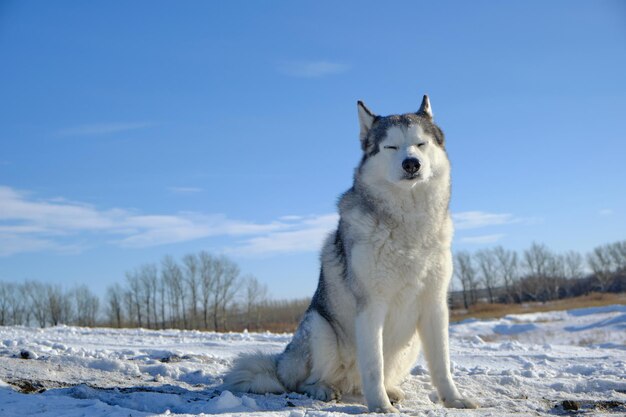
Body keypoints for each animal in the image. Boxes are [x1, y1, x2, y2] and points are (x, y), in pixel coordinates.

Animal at [223, 96, 478, 412]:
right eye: (391, 147)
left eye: (421, 144)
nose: (411, 164)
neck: (408, 224)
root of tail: (281, 365)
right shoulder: (371, 306)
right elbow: (374, 365)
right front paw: (380, 407)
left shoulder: (435, 305)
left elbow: (442, 364)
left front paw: (453, 399)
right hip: (319, 328)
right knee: (305, 382)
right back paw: (323, 389)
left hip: (411, 344)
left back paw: (390, 390)